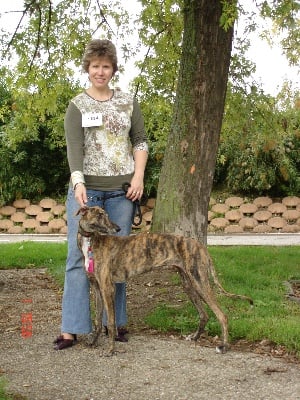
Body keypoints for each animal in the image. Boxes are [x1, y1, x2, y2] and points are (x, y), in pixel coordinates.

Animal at [76, 206, 252, 356]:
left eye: (105, 214)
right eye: (99, 215)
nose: (117, 228)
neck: (92, 242)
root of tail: (201, 246)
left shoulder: (107, 288)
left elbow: (111, 322)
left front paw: (110, 350)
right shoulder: (97, 288)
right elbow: (98, 320)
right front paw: (93, 342)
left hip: (200, 282)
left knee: (222, 315)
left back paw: (224, 346)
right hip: (188, 284)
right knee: (204, 315)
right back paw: (195, 337)